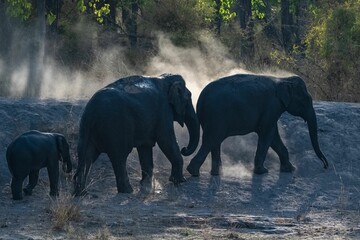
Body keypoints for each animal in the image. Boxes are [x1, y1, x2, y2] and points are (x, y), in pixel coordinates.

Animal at [186, 73, 330, 176]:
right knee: (211, 140)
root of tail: (200, 99)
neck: (283, 79)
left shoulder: (271, 111)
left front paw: (290, 169)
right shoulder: (272, 106)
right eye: (306, 100)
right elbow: (267, 135)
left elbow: (273, 136)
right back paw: (193, 172)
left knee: (214, 142)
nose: (325, 166)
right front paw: (263, 171)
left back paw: (216, 173)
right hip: (216, 117)